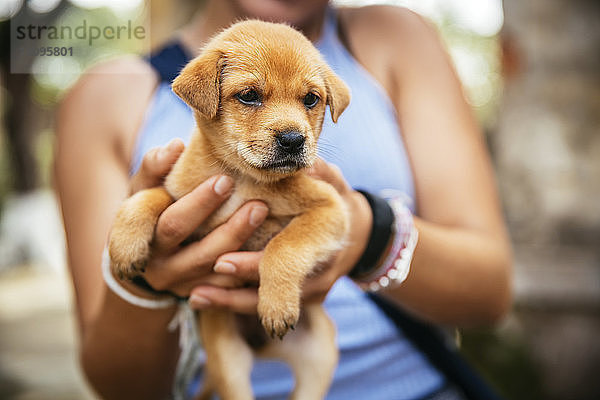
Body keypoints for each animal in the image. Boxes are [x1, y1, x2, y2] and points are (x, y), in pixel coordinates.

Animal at [108, 20, 352, 398]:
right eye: (249, 95)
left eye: (311, 99)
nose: (294, 140)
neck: (243, 179)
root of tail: (262, 348)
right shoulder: (181, 191)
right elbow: (149, 197)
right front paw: (124, 246)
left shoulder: (331, 210)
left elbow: (284, 246)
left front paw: (275, 303)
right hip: (229, 359)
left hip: (319, 356)